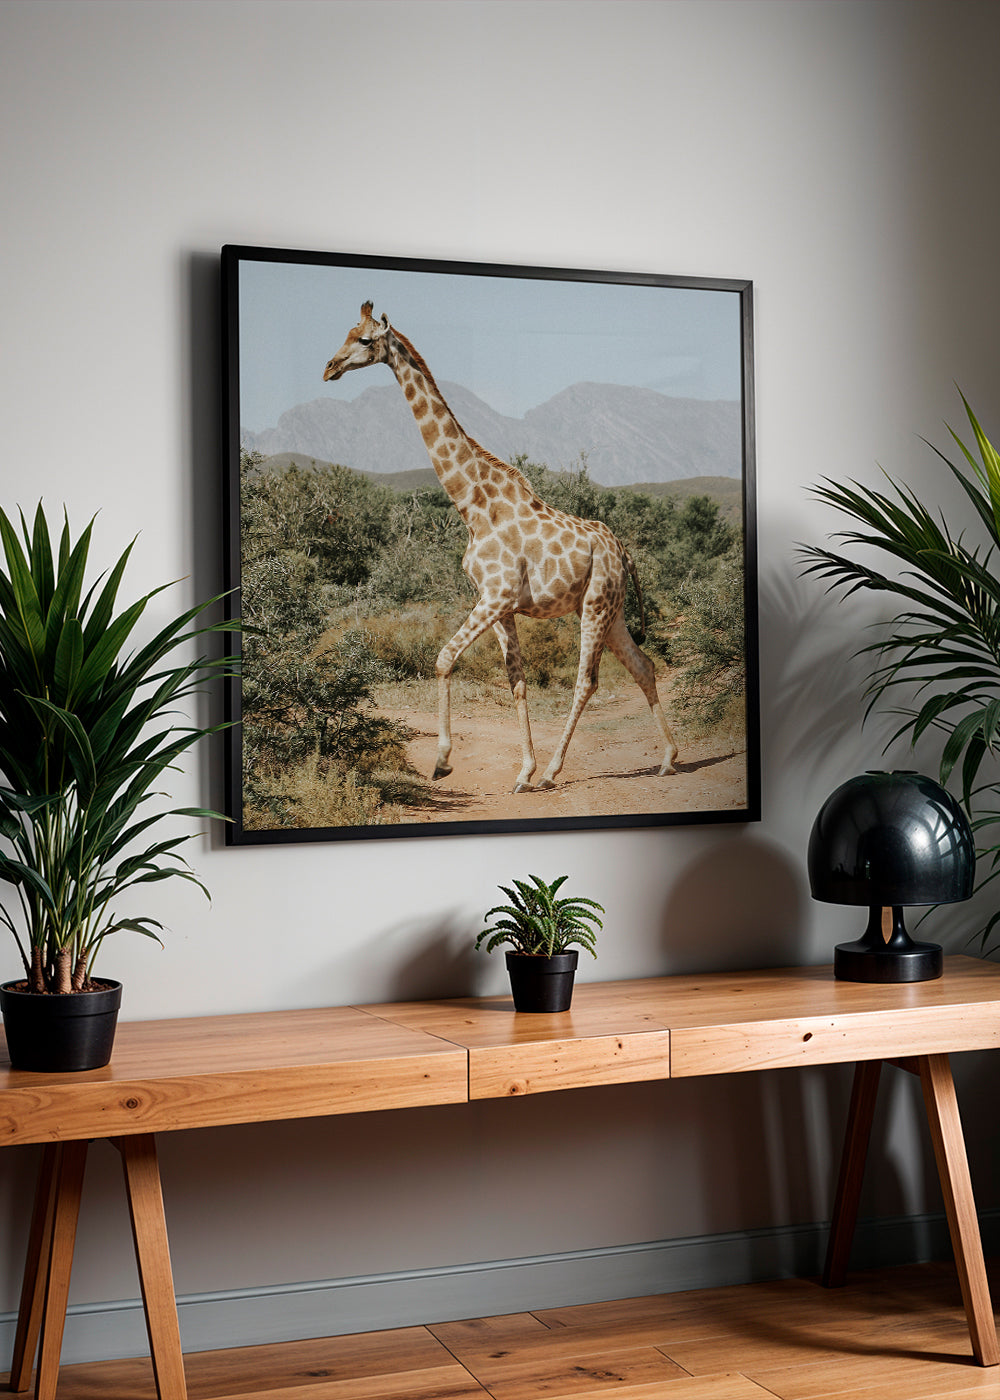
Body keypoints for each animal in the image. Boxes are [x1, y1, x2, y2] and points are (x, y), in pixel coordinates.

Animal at [323, 302, 679, 793]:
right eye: (345, 332)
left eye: (363, 340)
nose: (329, 368)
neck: (472, 505)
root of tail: (622, 551)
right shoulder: (500, 604)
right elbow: (517, 681)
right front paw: (522, 771)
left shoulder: (497, 595)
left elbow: (443, 658)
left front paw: (443, 761)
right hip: (613, 609)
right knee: (643, 665)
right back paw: (667, 758)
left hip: (595, 605)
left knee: (587, 680)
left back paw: (553, 771)